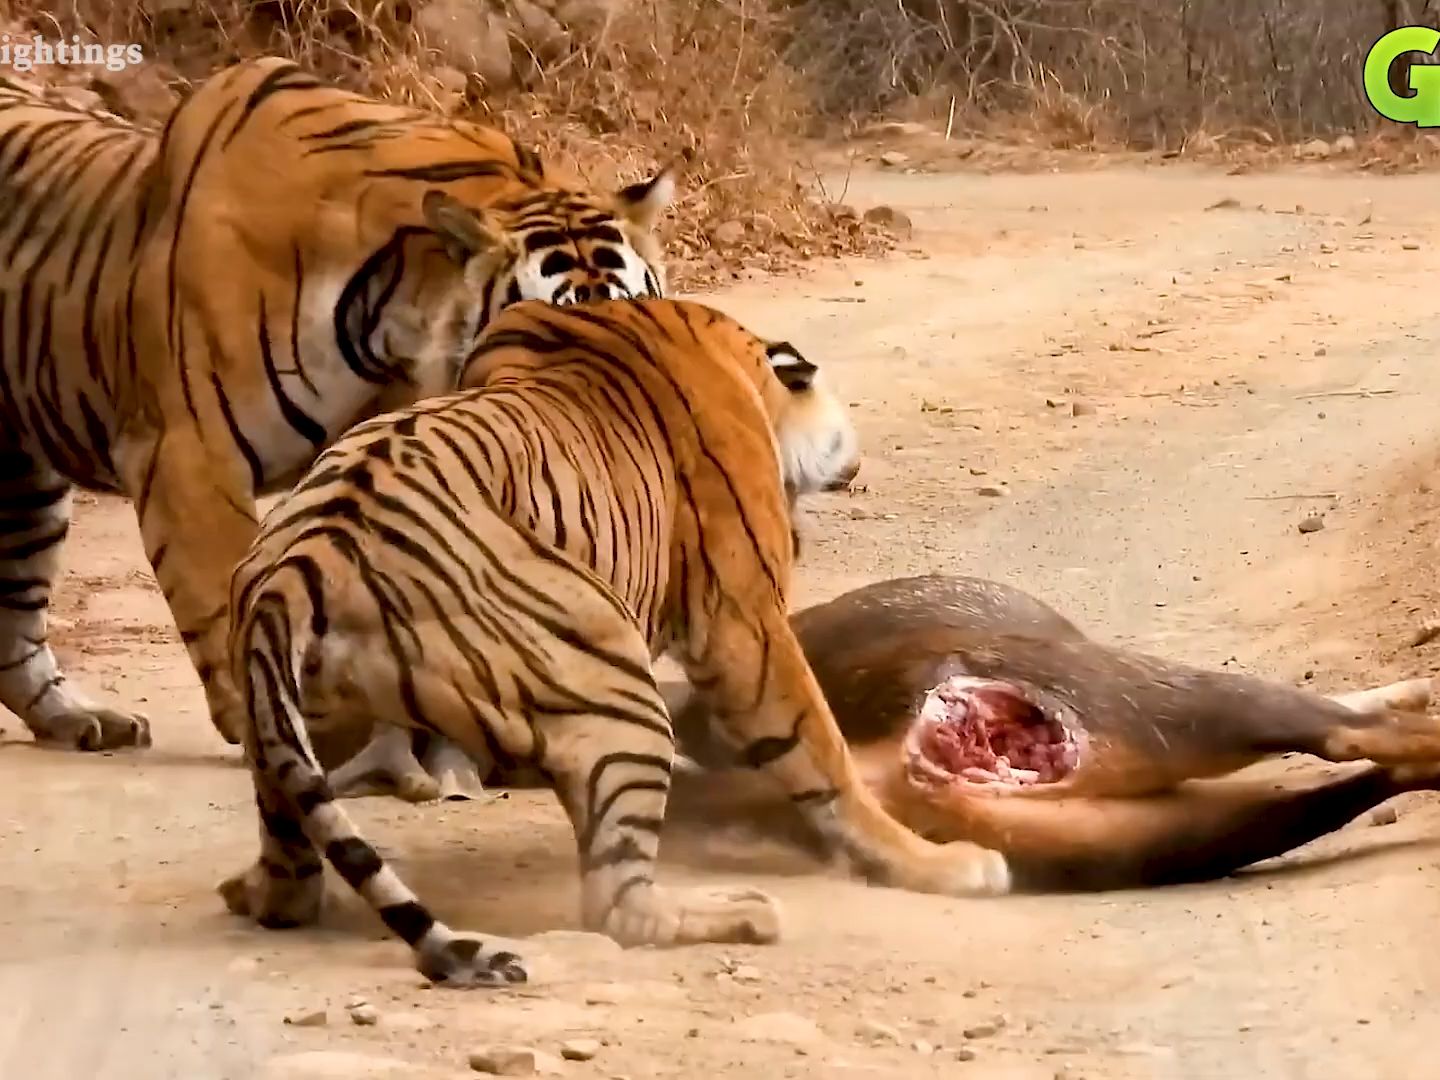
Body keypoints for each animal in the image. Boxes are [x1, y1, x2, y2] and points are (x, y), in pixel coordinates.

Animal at [221, 298, 1013, 990]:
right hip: (618, 690)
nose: (854, 465)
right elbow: (823, 755)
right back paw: (744, 914)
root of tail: (305, 560)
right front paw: (940, 865)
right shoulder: (746, 622)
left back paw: (249, 890)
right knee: (617, 908)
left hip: (278, 726)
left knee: (291, 878)